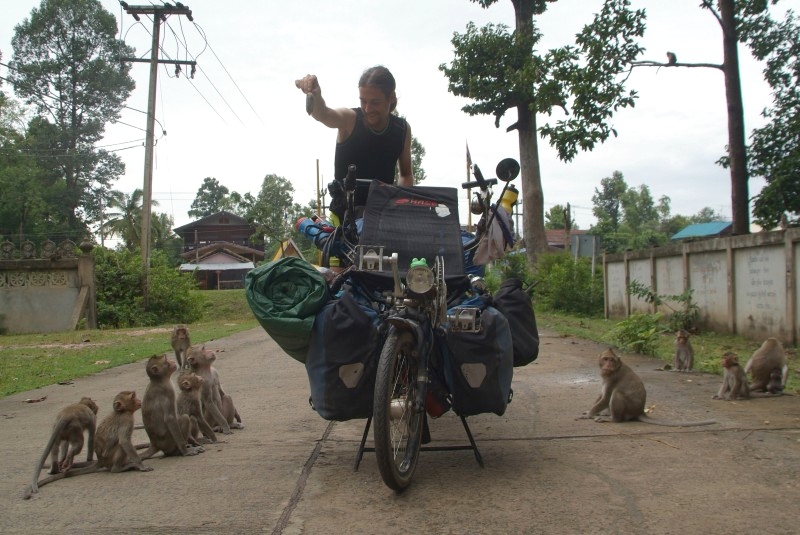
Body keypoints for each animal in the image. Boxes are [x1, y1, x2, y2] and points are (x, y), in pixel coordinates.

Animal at [23, 392, 152, 500]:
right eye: (133, 396)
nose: (139, 400)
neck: (122, 412)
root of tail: (101, 461)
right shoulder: (126, 420)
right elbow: (124, 441)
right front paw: (141, 466)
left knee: (56, 448)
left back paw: (55, 467)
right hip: (84, 436)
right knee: (119, 446)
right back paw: (118, 468)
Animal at [580, 350, 720, 430]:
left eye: (612, 360)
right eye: (605, 359)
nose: (608, 365)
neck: (615, 368)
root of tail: (640, 410)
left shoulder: (613, 378)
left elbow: (606, 398)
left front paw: (589, 414)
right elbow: (601, 395)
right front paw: (591, 411)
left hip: (630, 408)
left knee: (617, 394)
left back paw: (613, 419)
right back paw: (606, 413)